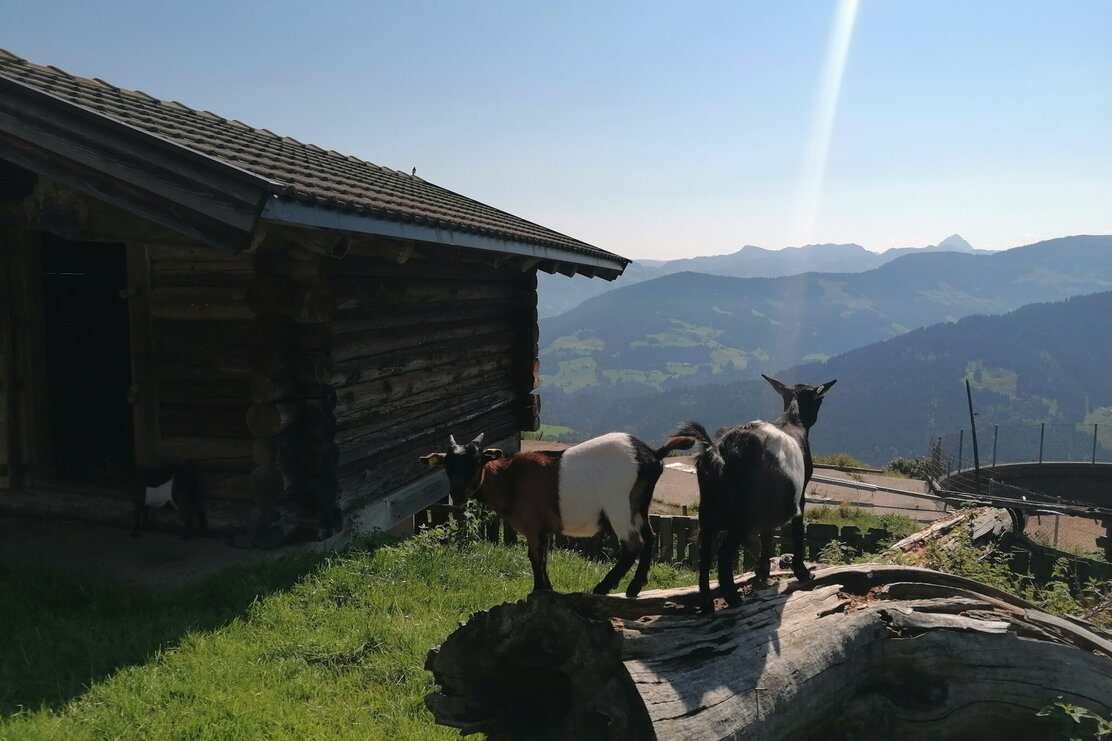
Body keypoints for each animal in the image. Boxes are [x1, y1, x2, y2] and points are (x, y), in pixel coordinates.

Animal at [420, 429, 689, 596]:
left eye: (477, 462)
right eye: (447, 465)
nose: (458, 492)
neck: (510, 479)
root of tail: (652, 455)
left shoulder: (532, 525)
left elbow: (534, 557)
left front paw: (537, 591)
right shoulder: (545, 528)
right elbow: (544, 558)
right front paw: (548, 589)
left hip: (620, 507)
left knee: (633, 545)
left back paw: (602, 587)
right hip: (640, 506)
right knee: (650, 538)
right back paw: (634, 588)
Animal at [671, 376, 836, 609]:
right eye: (820, 399)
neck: (792, 422)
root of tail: (717, 453)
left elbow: (767, 534)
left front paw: (762, 572)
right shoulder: (801, 494)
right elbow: (796, 530)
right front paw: (802, 572)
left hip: (708, 510)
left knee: (705, 550)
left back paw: (707, 603)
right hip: (742, 515)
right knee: (724, 551)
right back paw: (732, 597)